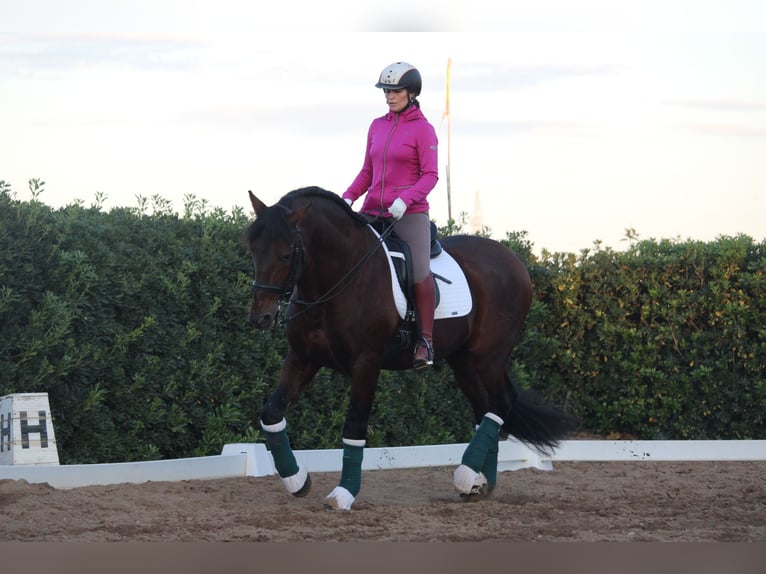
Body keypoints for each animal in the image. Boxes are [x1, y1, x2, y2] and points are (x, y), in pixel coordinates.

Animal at [246, 187, 576, 510]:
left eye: (286, 254)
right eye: (252, 248)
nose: (261, 317)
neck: (339, 276)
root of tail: (514, 260)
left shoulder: (366, 363)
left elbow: (355, 426)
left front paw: (344, 493)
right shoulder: (303, 358)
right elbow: (271, 412)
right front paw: (297, 480)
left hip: (489, 356)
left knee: (499, 404)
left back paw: (467, 475)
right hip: (464, 361)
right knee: (484, 408)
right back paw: (479, 483)